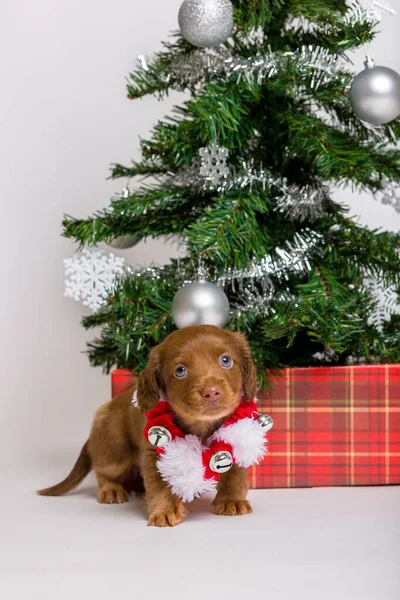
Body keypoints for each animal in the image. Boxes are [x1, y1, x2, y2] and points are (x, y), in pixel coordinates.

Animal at [39, 326, 258, 528]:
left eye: (226, 360)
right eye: (180, 371)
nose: (211, 391)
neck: (200, 424)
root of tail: (106, 409)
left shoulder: (235, 439)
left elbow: (235, 474)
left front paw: (232, 500)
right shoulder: (156, 452)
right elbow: (160, 486)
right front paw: (164, 511)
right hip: (116, 450)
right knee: (103, 470)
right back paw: (111, 489)